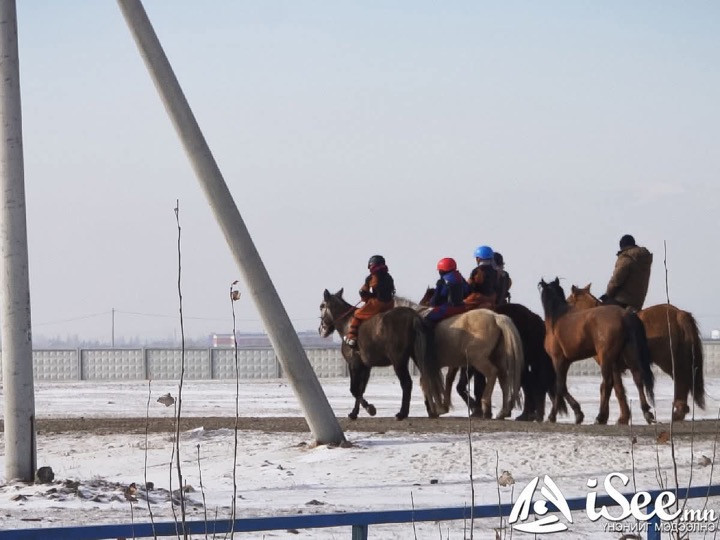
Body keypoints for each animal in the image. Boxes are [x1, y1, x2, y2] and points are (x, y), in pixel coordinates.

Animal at [320, 288, 444, 420]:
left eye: (321, 306)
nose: (321, 329)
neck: (347, 325)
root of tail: (413, 316)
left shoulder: (354, 364)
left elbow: (354, 389)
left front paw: (369, 408)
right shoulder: (366, 367)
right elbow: (361, 389)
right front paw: (354, 412)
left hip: (398, 361)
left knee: (407, 383)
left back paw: (402, 413)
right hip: (417, 357)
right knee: (425, 378)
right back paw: (431, 411)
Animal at [394, 294, 524, 420]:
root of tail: (496, 317)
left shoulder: (426, 365)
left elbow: (427, 382)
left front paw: (434, 409)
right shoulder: (452, 365)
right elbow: (448, 380)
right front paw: (443, 407)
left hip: (478, 360)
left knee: (492, 373)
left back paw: (486, 405)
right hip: (497, 358)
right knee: (503, 378)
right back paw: (503, 411)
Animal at [540, 278, 652, 426]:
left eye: (570, 299)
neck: (556, 319)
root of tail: (625, 315)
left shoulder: (558, 360)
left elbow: (560, 386)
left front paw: (554, 416)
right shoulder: (568, 362)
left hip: (607, 358)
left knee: (609, 382)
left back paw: (599, 417)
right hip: (630, 355)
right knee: (638, 378)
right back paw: (647, 412)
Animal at [568, 282, 704, 422]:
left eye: (568, 301)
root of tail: (679, 314)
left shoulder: (611, 365)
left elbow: (616, 389)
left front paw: (619, 418)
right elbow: (614, 388)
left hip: (667, 360)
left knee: (680, 378)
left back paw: (679, 411)